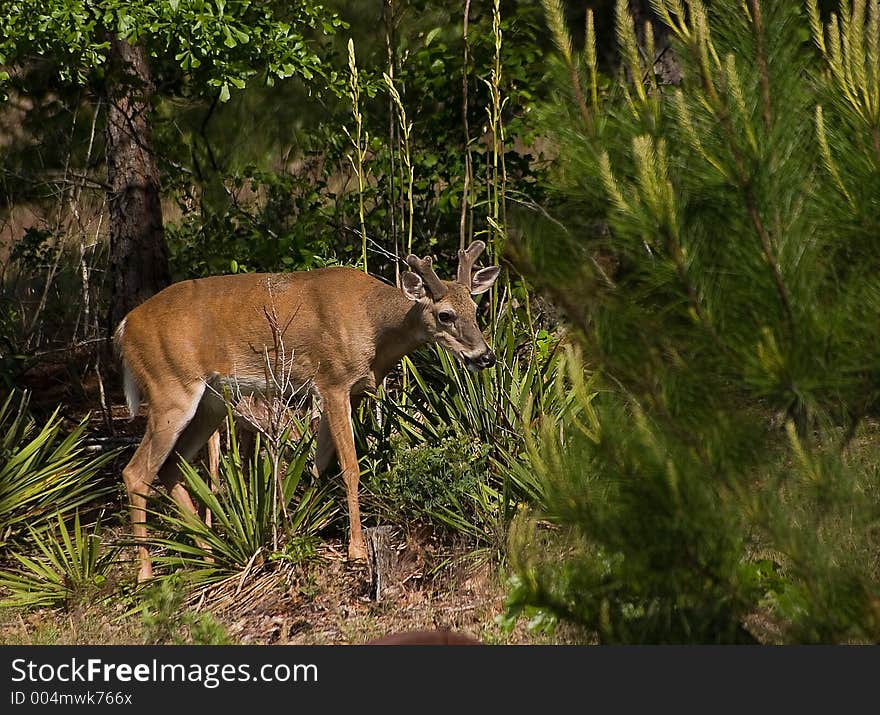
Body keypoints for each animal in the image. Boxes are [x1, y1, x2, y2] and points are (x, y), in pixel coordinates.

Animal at [115, 241, 502, 580]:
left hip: (210, 404)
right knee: (136, 472)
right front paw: (356, 552)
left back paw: (208, 555)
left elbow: (318, 465)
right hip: (169, 388)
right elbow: (350, 467)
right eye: (445, 315)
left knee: (171, 467)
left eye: (475, 310)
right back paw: (146, 575)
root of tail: (123, 328)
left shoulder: (351, 390)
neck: (375, 326)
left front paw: (302, 531)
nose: (486, 356)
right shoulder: (332, 381)